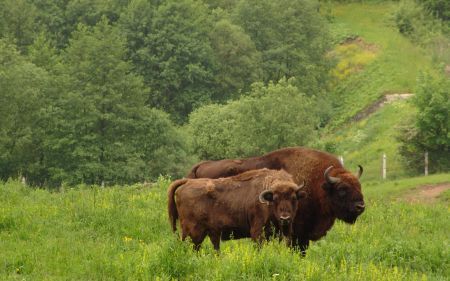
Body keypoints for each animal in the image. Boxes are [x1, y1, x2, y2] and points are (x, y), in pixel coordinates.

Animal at [167, 167, 308, 250]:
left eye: (294, 198)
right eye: (275, 198)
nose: (285, 218)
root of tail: (187, 182)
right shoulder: (257, 232)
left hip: (207, 233)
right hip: (191, 232)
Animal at [186, 147, 366, 252]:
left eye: (359, 186)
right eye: (342, 189)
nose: (360, 206)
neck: (318, 183)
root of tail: (199, 166)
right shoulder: (295, 233)